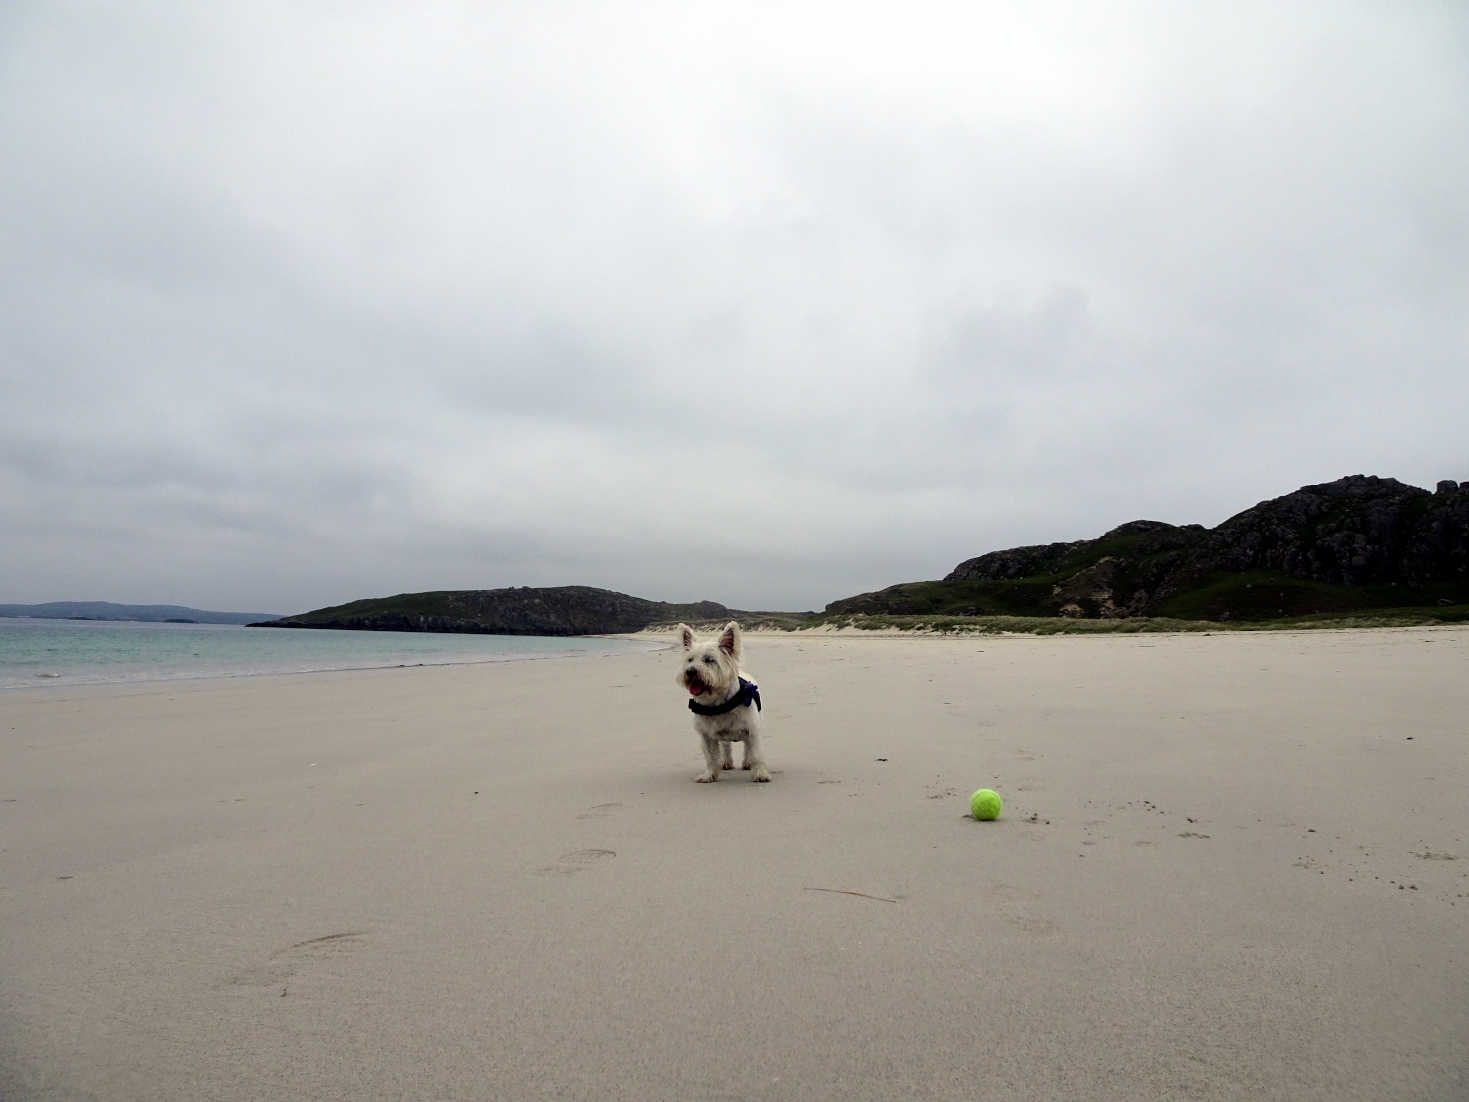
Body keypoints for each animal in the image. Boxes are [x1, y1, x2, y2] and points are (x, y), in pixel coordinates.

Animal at [672, 622, 769, 787]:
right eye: (690, 660)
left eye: (709, 660)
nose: (690, 671)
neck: (717, 704)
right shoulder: (707, 735)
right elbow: (711, 758)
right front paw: (709, 776)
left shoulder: (752, 730)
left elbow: (756, 754)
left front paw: (760, 774)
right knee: (726, 746)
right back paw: (727, 762)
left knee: (747, 747)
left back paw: (747, 762)